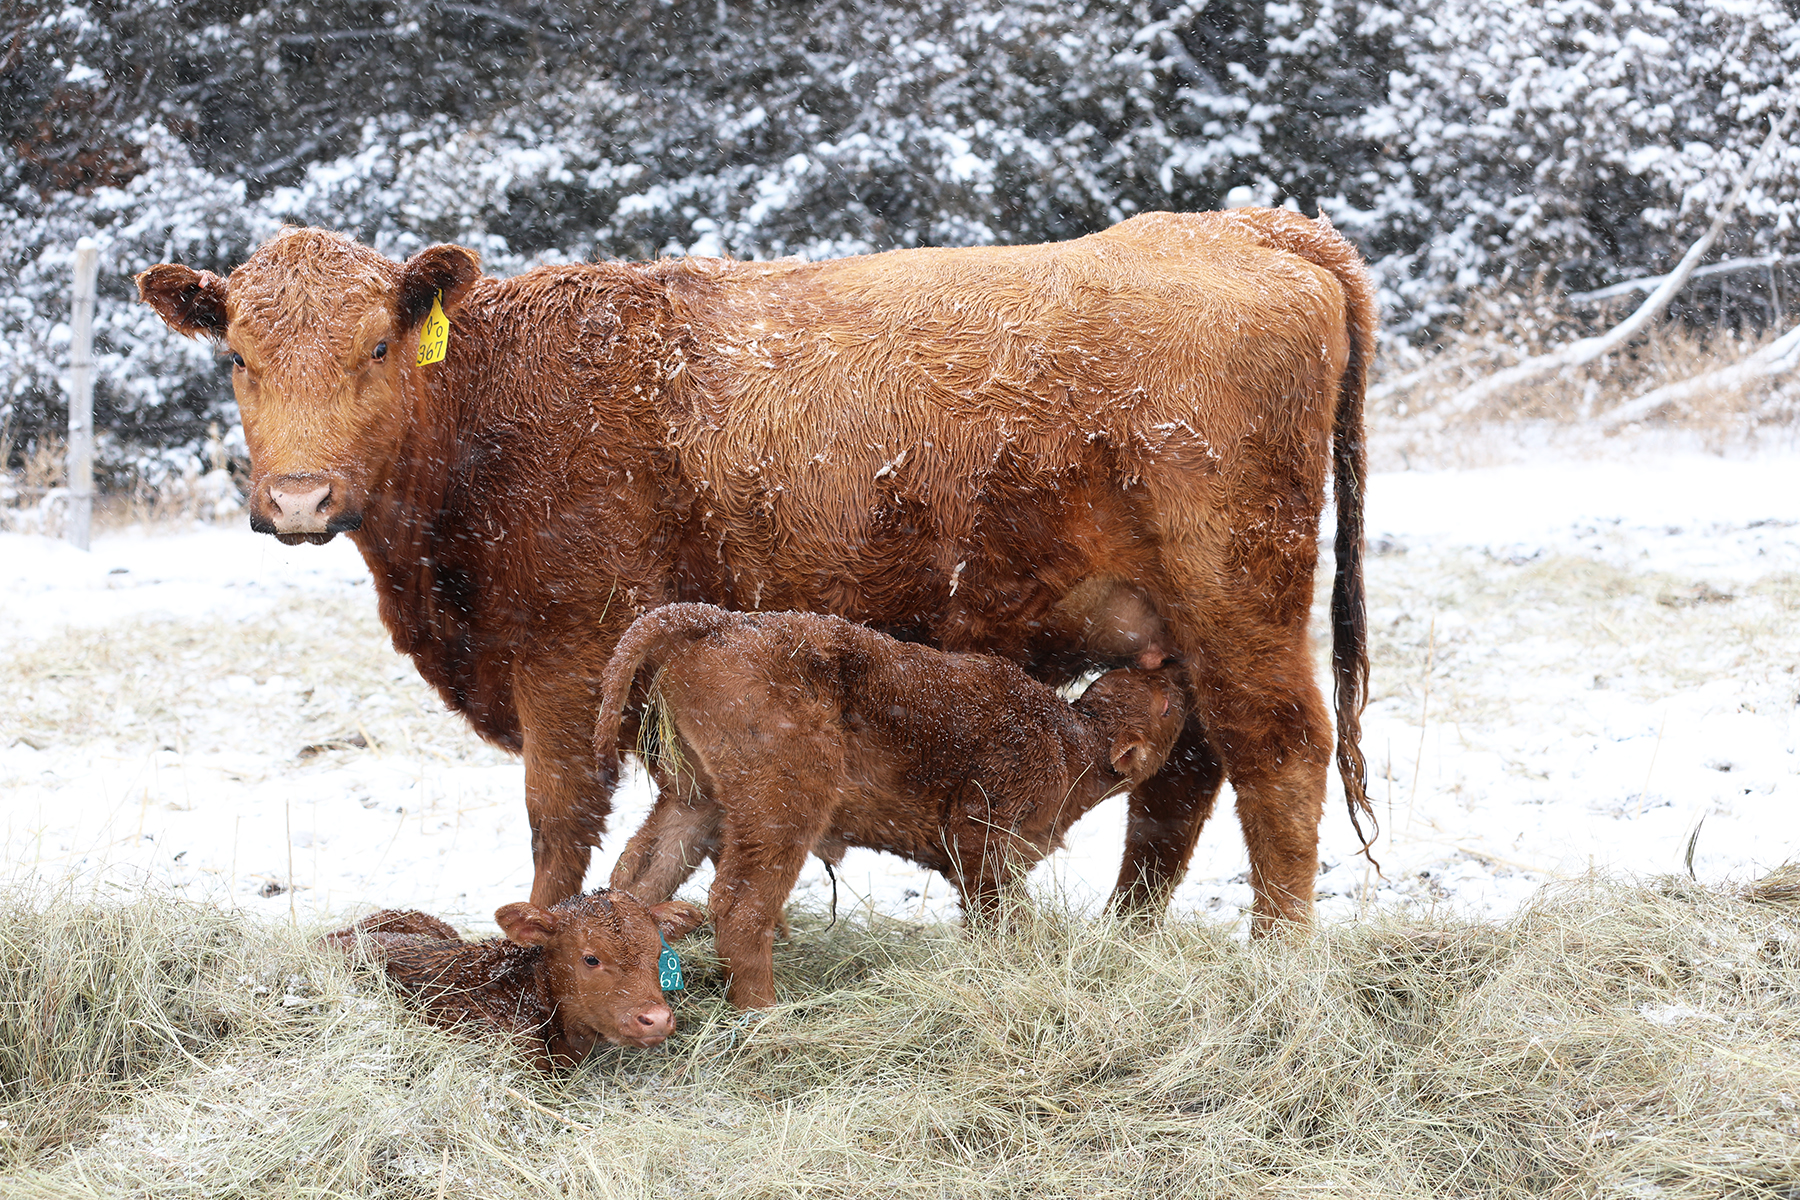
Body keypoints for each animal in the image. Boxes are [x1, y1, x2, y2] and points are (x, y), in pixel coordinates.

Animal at [140, 211, 1375, 935]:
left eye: (378, 347)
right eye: (238, 356)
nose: (299, 500)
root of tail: (1248, 227)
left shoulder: (567, 661)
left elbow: (560, 823)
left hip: (1238, 593)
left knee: (1276, 753)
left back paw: (1277, 961)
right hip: (1175, 623)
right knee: (1188, 770)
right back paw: (1128, 939)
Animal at [594, 604, 1195, 1007]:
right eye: (1166, 705)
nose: (1174, 668)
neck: (1073, 740)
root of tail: (716, 619)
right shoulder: (981, 837)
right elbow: (1000, 914)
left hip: (695, 800)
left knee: (638, 874)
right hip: (783, 803)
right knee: (739, 906)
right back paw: (767, 1014)